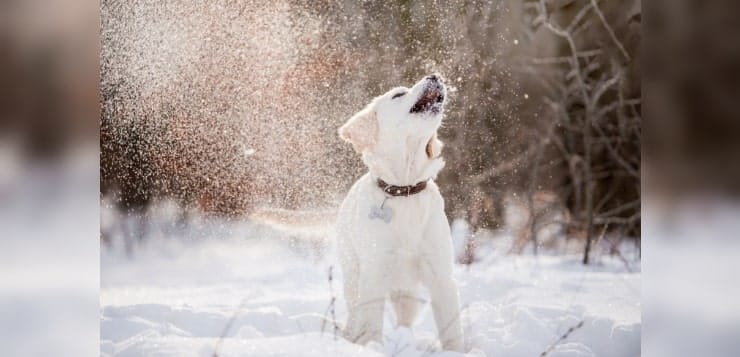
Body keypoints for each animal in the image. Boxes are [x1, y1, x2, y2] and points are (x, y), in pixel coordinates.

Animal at [338, 73, 466, 350]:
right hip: (352, 273)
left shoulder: (441, 272)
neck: (405, 188)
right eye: (398, 94)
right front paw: (371, 347)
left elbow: (452, 328)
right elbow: (371, 322)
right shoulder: (374, 269)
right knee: (354, 312)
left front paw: (458, 351)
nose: (435, 75)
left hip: (408, 292)